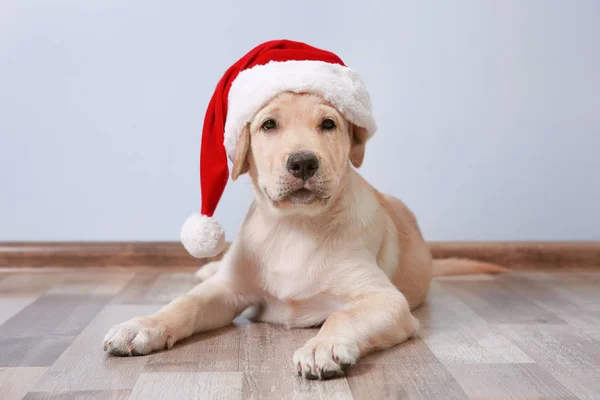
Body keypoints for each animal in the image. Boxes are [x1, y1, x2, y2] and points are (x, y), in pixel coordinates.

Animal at [104, 92, 506, 380]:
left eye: (328, 124)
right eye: (268, 124)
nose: (303, 162)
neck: (295, 226)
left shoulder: (386, 300)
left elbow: (341, 316)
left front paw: (321, 348)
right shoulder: (229, 289)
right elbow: (185, 304)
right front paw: (142, 326)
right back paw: (206, 269)